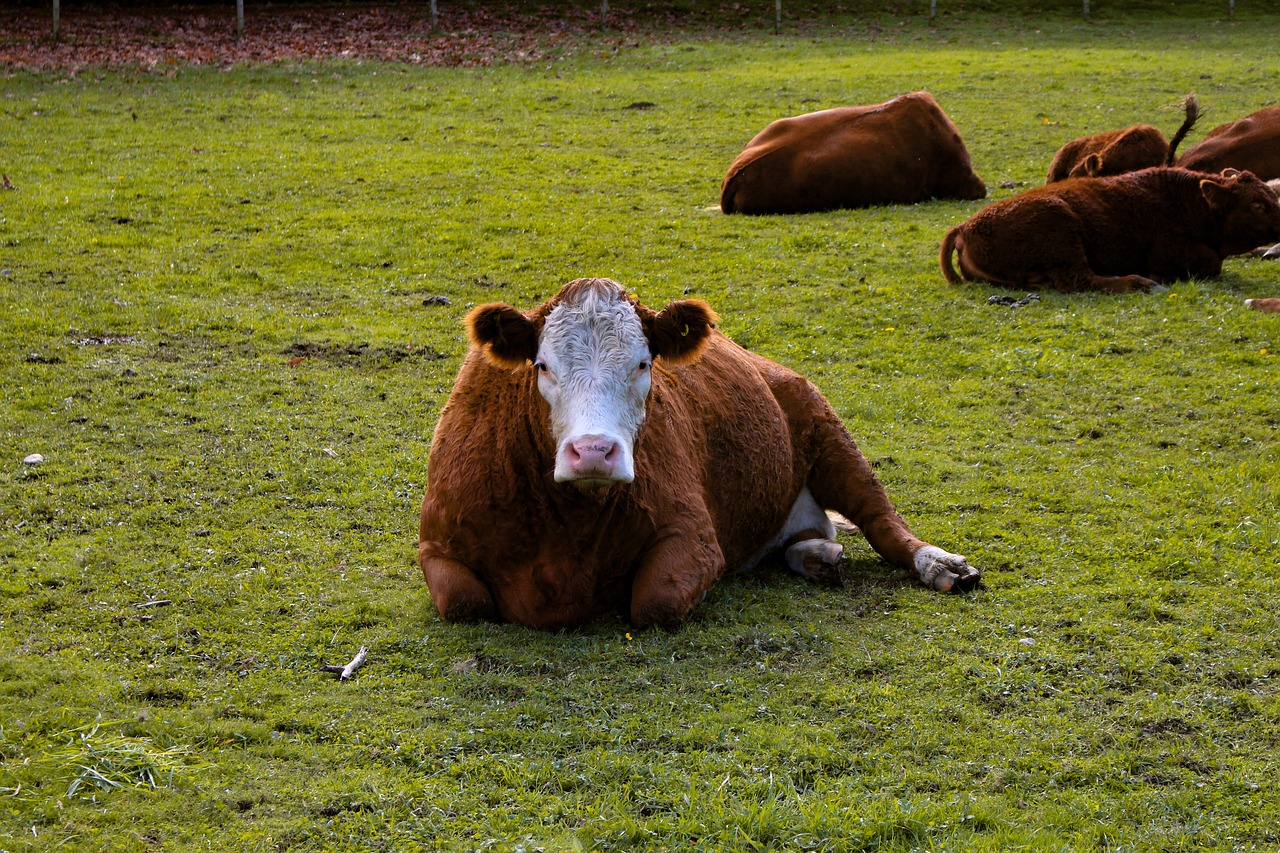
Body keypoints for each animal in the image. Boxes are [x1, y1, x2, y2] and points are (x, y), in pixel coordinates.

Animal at [419, 275, 977, 627]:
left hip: (828, 433)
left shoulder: (695, 537)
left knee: (882, 520)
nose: (594, 452)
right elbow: (465, 602)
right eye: (542, 366)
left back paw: (940, 565)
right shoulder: (437, 546)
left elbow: (657, 602)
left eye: (643, 363)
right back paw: (818, 555)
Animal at [942, 166, 1280, 292]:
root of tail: (965, 227)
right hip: (1061, 225)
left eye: (1271, 195)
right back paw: (1142, 282)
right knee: (1081, 280)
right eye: (1258, 205)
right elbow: (1211, 263)